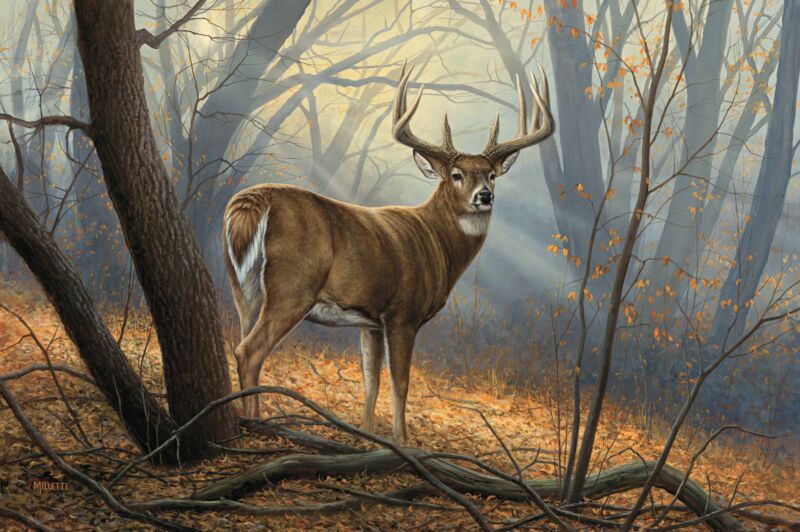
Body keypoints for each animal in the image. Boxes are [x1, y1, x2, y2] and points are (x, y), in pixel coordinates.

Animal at [223, 63, 554, 442]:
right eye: (456, 174)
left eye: (492, 175)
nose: (485, 196)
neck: (437, 243)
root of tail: (250, 204)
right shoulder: (402, 313)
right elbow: (401, 382)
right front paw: (402, 440)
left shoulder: (371, 321)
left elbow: (371, 380)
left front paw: (366, 432)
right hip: (293, 286)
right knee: (249, 351)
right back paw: (256, 424)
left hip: (242, 288)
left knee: (239, 341)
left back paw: (242, 416)